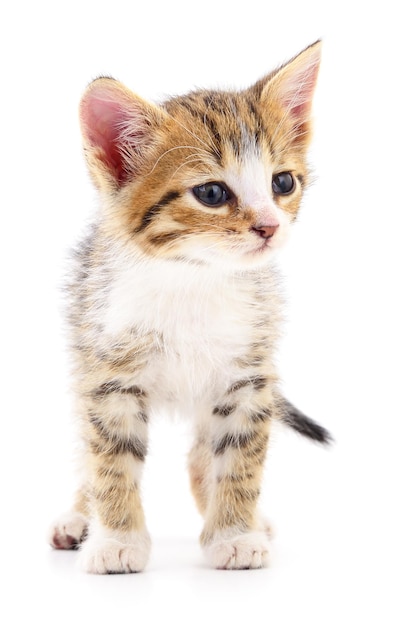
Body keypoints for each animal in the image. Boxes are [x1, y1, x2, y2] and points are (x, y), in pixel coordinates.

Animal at [50, 41, 330, 572]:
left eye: (282, 183)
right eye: (212, 193)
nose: (270, 226)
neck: (195, 279)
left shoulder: (248, 377)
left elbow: (239, 458)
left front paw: (234, 533)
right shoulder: (108, 374)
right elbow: (109, 460)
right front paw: (117, 539)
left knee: (201, 455)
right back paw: (77, 516)